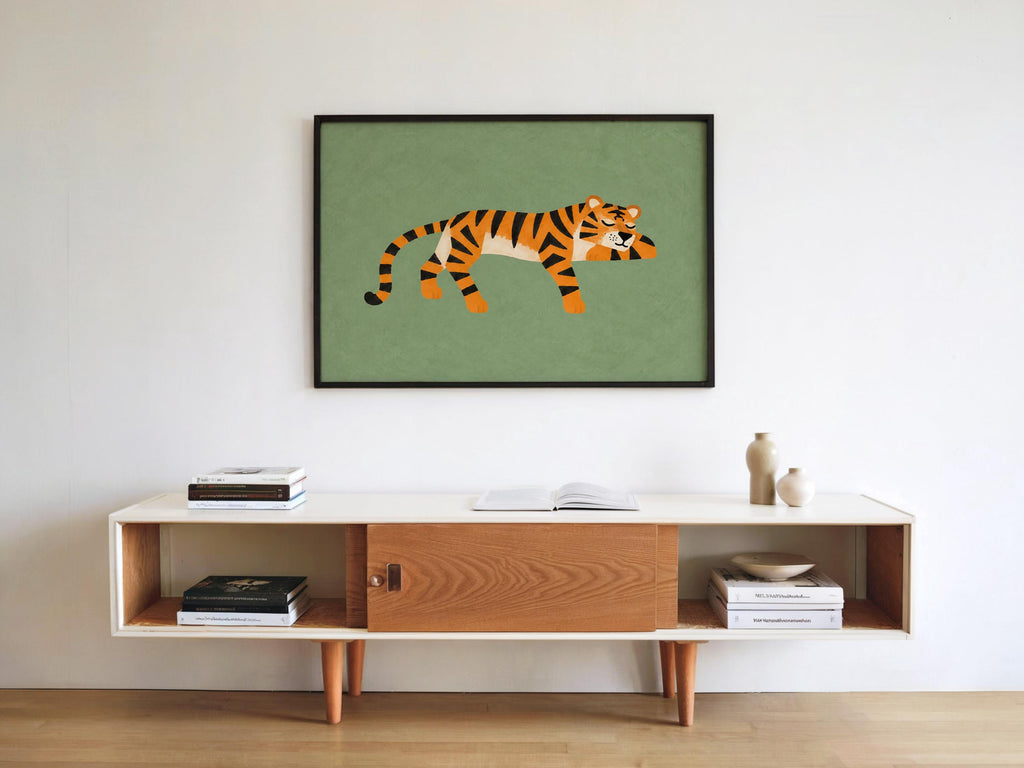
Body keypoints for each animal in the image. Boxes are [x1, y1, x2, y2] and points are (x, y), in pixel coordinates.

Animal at [364, 195, 656, 314]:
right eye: (608, 222)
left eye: (631, 225)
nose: (627, 236)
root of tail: (454, 217)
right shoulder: (556, 258)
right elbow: (570, 282)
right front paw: (575, 306)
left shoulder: (593, 251)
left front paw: (646, 244)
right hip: (465, 248)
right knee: (456, 268)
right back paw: (477, 303)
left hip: (446, 246)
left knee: (429, 266)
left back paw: (431, 293)